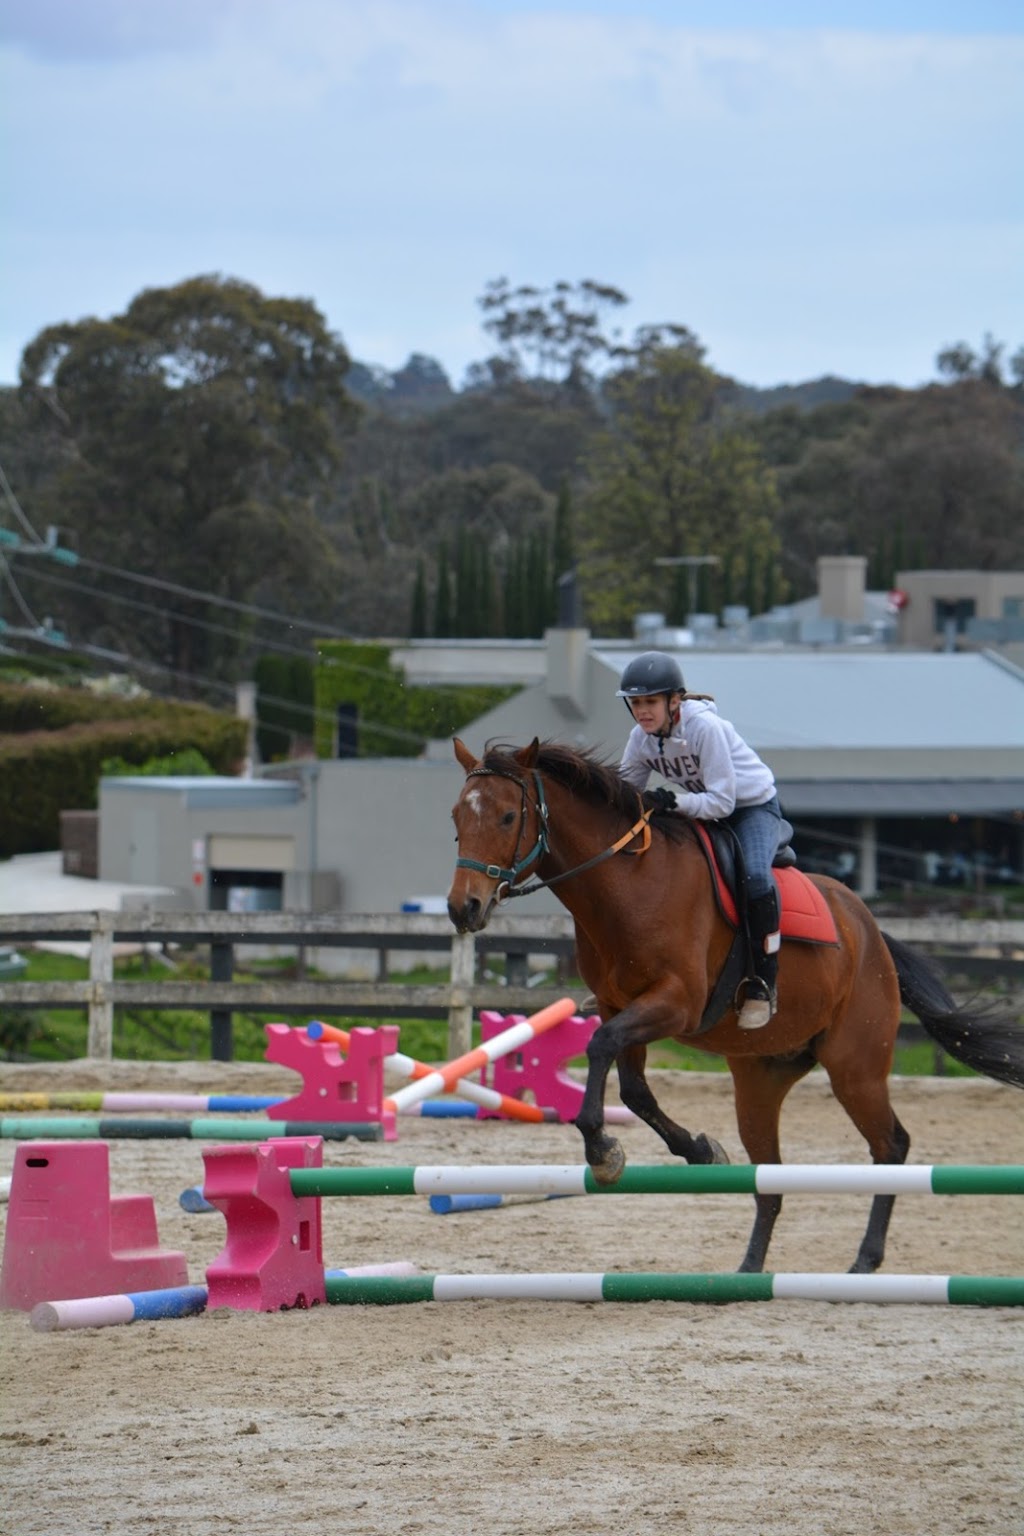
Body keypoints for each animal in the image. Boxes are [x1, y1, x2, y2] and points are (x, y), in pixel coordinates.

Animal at [448, 737, 1024, 1277]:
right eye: (456, 817)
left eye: (507, 816)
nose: (463, 908)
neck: (627, 887)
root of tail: (872, 933)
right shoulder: (619, 1006)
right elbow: (632, 1087)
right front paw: (695, 1150)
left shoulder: (675, 1004)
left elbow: (599, 1048)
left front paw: (602, 1151)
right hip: (760, 1081)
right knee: (770, 1179)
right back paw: (749, 1270)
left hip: (854, 1069)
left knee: (891, 1146)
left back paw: (865, 1260)